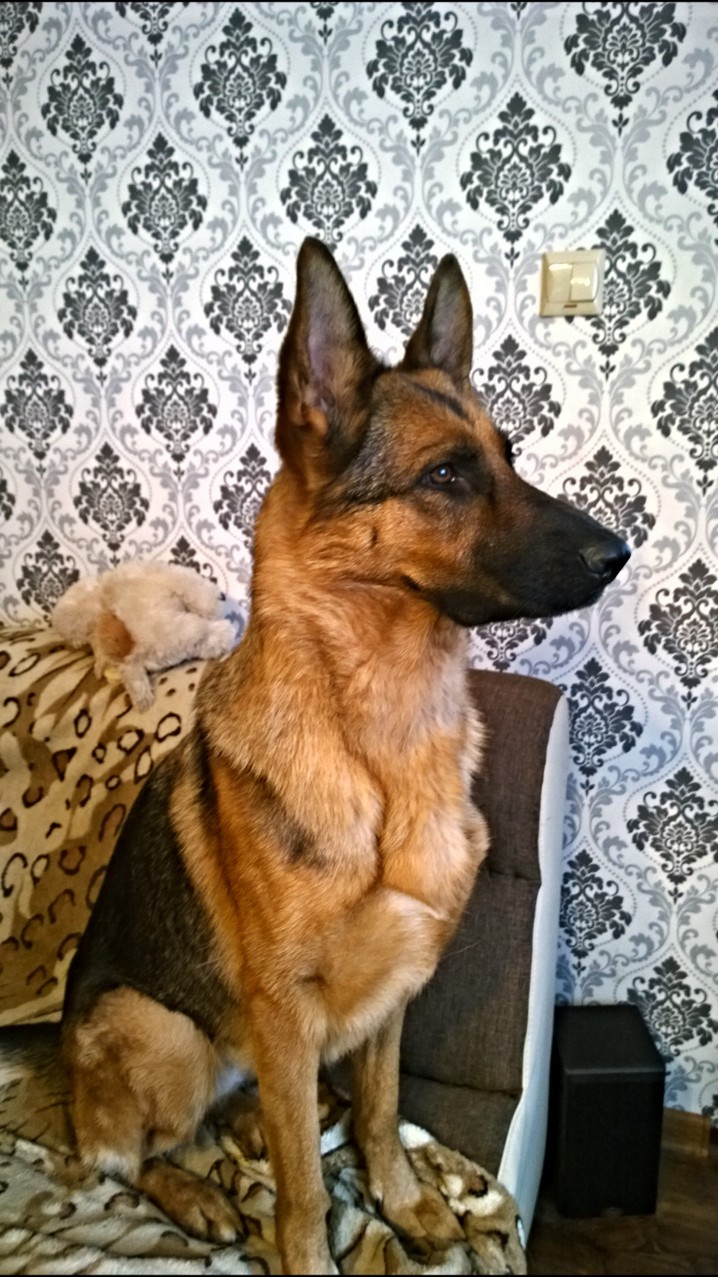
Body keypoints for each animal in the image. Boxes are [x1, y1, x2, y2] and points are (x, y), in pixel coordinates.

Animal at [61, 237, 630, 1274]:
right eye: (446, 475)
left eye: (510, 457)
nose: (621, 553)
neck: (383, 740)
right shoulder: (288, 1016)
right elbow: (301, 1188)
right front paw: (309, 1245)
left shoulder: (392, 996)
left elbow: (376, 1110)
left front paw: (403, 1202)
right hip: (159, 1030)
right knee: (124, 1153)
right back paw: (195, 1192)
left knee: (224, 1117)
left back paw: (238, 1134)